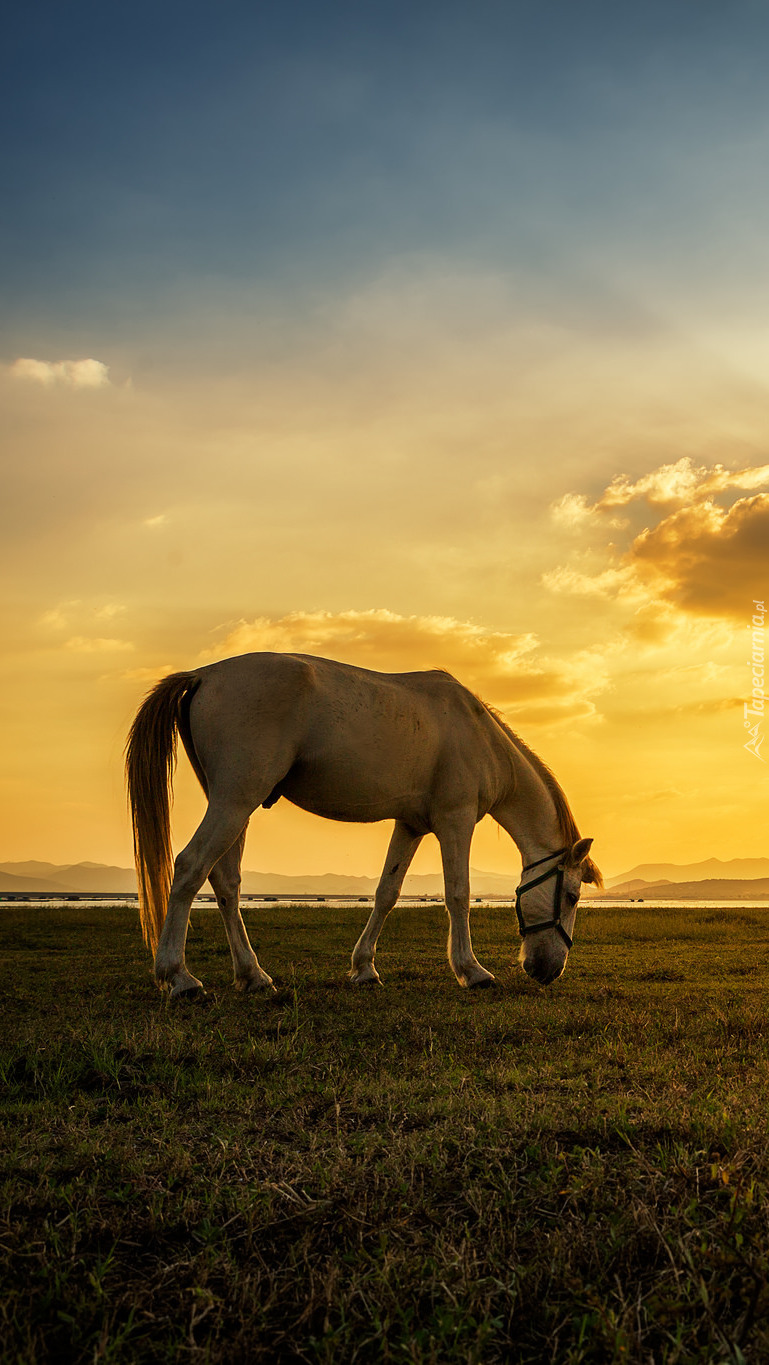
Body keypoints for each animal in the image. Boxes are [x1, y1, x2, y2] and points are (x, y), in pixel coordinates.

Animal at [124, 649, 600, 993]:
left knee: (225, 882)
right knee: (190, 867)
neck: (477, 734)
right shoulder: (456, 821)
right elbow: (458, 894)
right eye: (572, 896)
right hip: (235, 800)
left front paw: (364, 969)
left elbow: (387, 893)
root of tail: (204, 674)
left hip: (232, 803)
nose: (548, 970)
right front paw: (472, 971)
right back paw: (179, 977)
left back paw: (253, 976)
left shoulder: (411, 825)